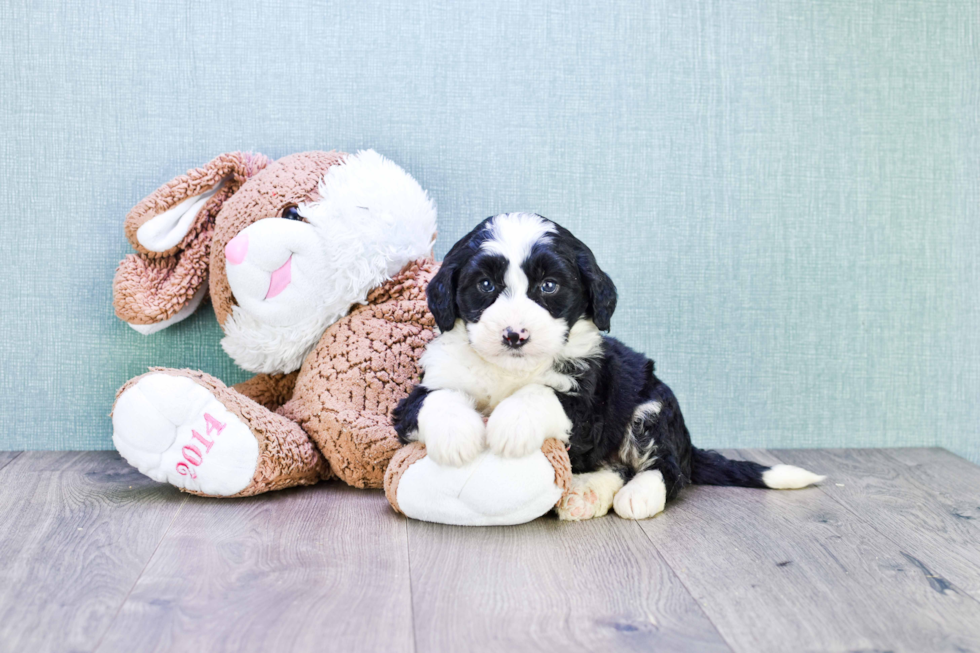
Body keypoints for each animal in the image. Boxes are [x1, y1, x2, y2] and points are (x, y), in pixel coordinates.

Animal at [394, 214, 824, 520]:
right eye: (485, 285)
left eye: (548, 286)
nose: (515, 335)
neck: (510, 371)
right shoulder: (424, 389)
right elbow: (435, 399)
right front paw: (456, 437)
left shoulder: (588, 407)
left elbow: (541, 394)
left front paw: (511, 425)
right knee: (616, 468)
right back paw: (585, 494)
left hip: (650, 406)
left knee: (669, 469)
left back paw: (638, 496)